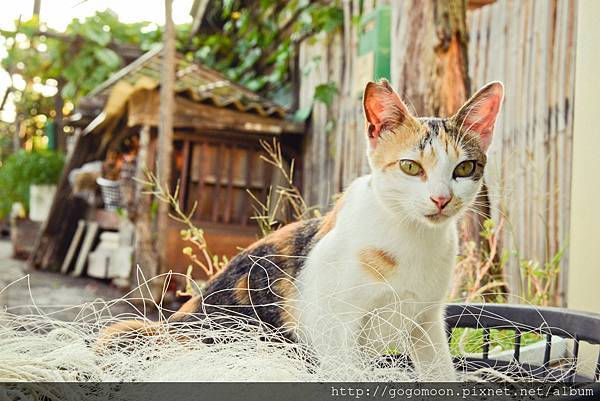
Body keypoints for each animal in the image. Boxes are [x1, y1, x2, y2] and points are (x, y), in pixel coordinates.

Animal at [105, 77, 504, 378]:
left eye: (464, 169)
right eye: (410, 167)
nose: (441, 199)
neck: (412, 238)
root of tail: (166, 330)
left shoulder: (426, 322)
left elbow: (441, 370)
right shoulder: (334, 329)